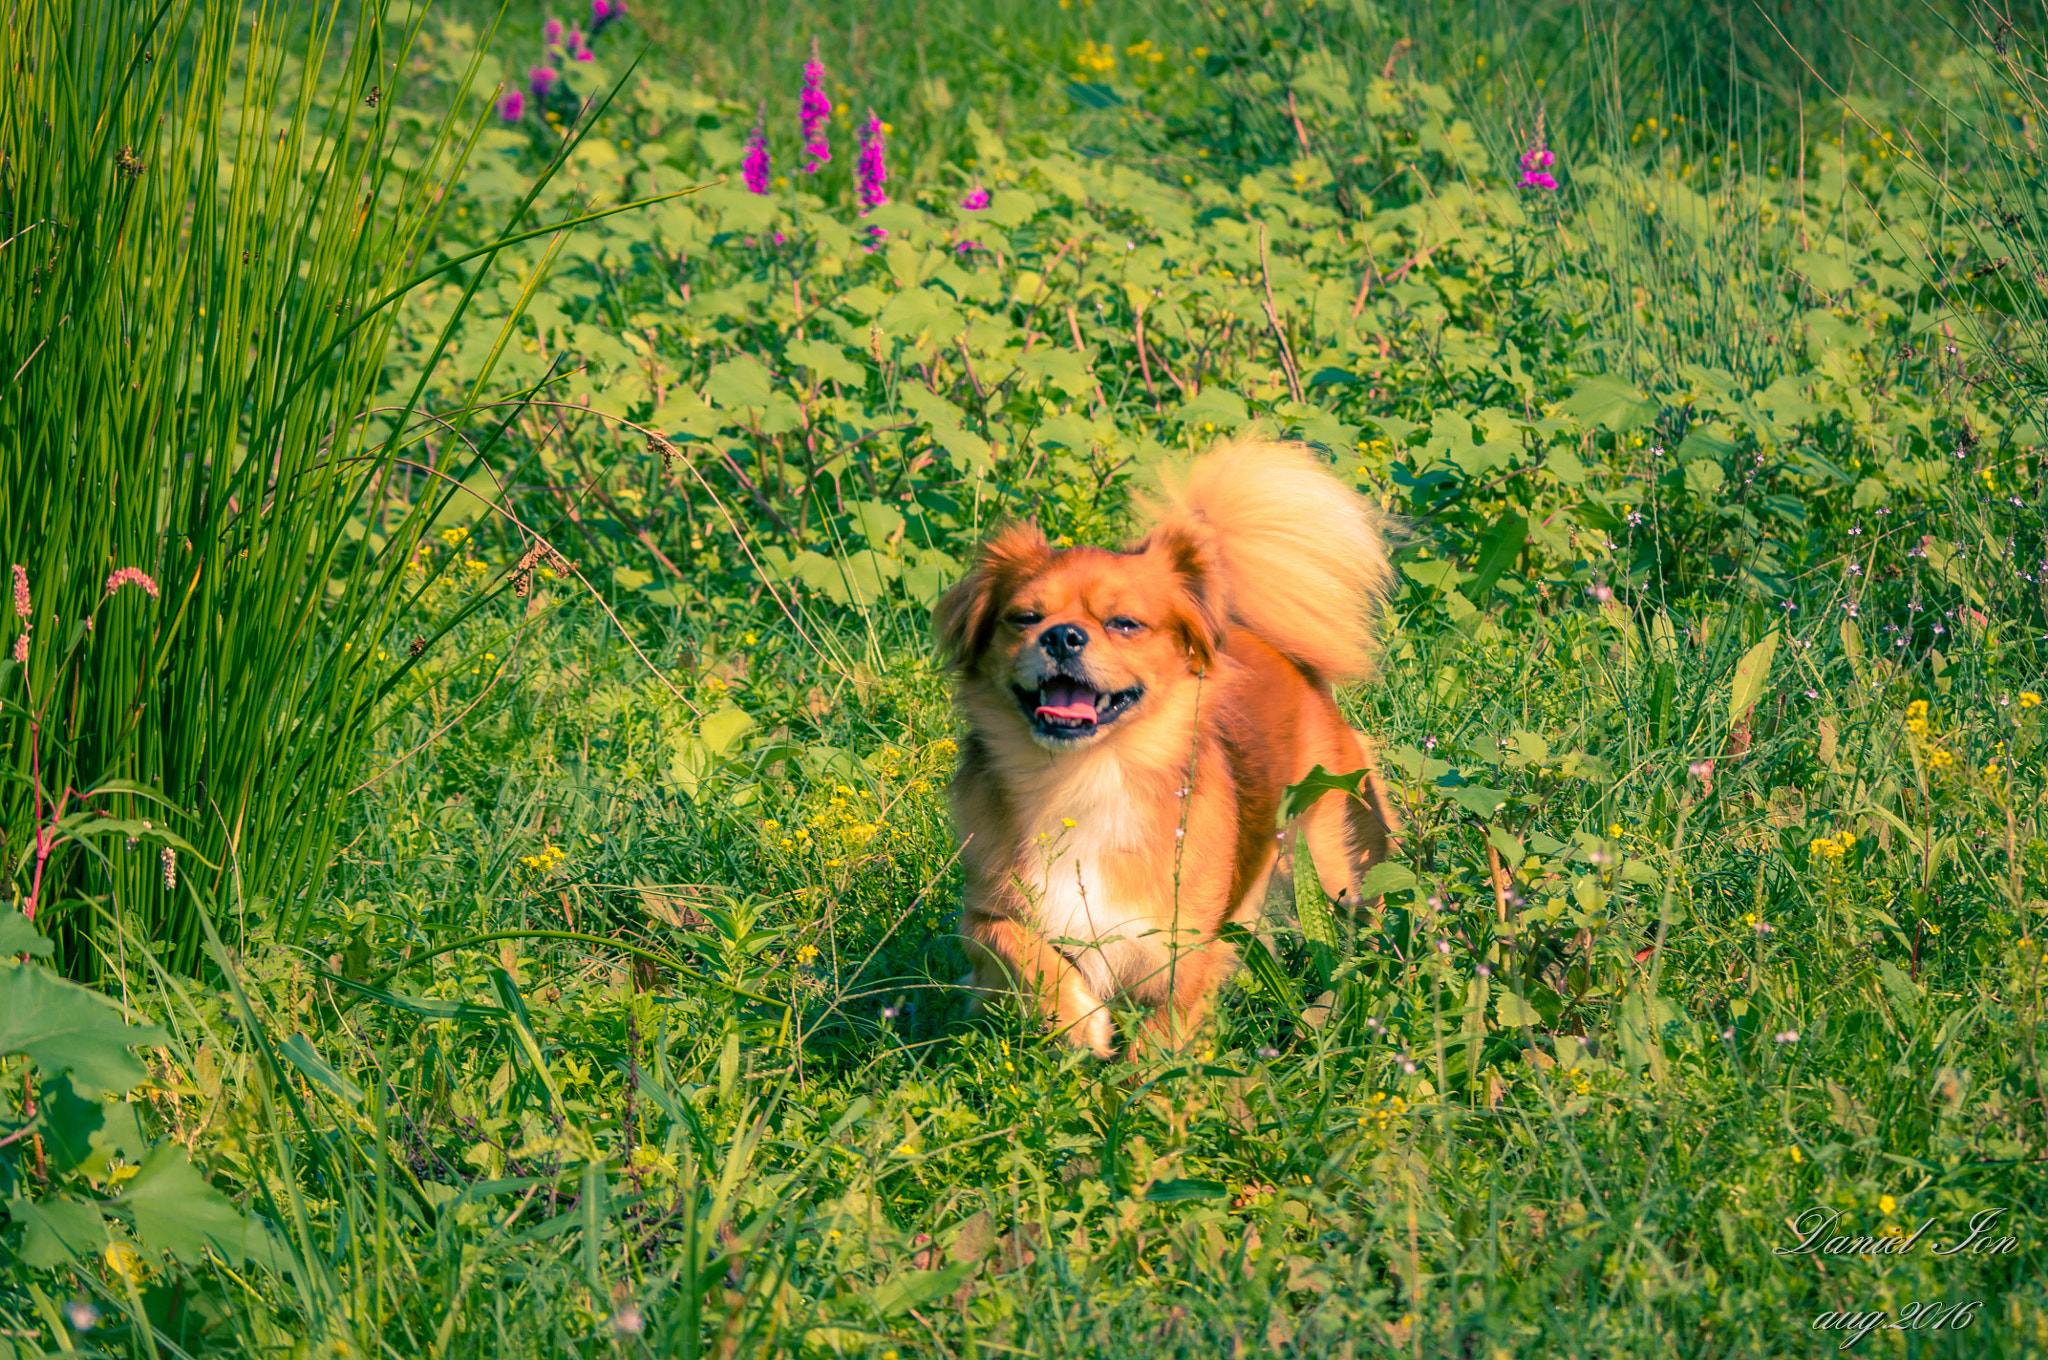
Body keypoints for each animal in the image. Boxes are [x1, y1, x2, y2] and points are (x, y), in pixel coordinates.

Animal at [933, 440, 1400, 1056]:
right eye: (1025, 618)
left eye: (1125, 624)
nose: (1061, 635)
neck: (1087, 775)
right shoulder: (984, 911)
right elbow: (1014, 944)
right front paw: (1077, 1016)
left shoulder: (1184, 943)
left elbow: (1165, 1030)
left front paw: (1147, 1072)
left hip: (1335, 862)